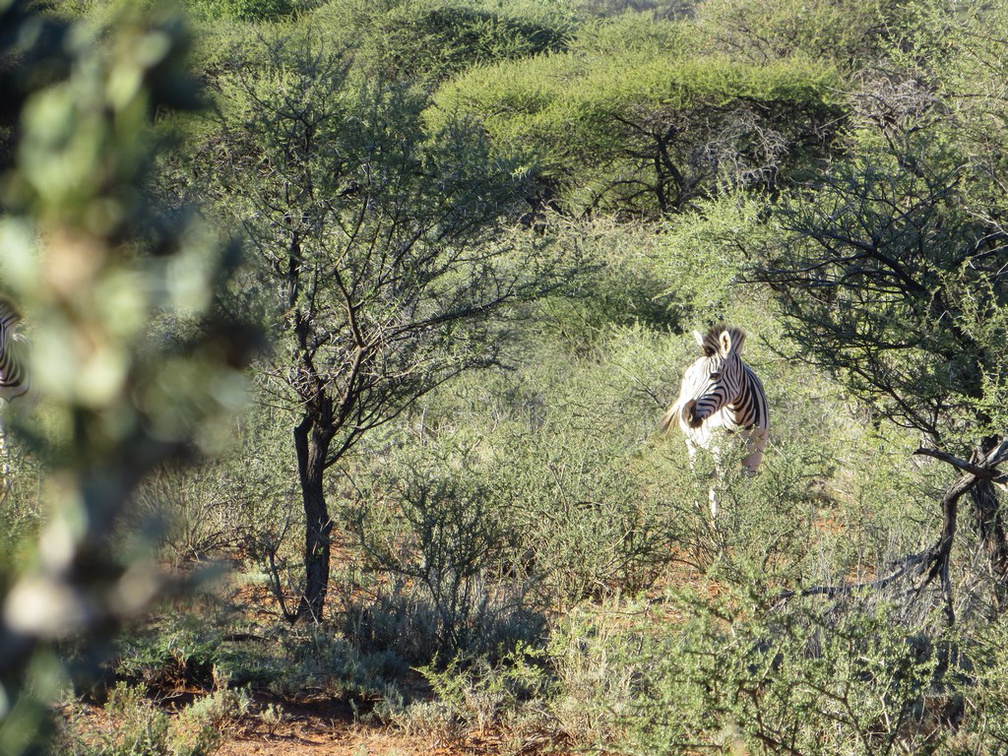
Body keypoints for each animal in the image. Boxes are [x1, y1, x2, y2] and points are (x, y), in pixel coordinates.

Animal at [661, 326, 770, 516]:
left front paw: (745, 517)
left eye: (714, 375)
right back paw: (698, 513)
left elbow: (744, 489)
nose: (686, 415)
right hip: (693, 444)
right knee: (697, 478)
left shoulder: (756, 450)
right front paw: (724, 520)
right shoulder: (721, 451)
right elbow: (722, 489)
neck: (741, 418)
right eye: (696, 379)